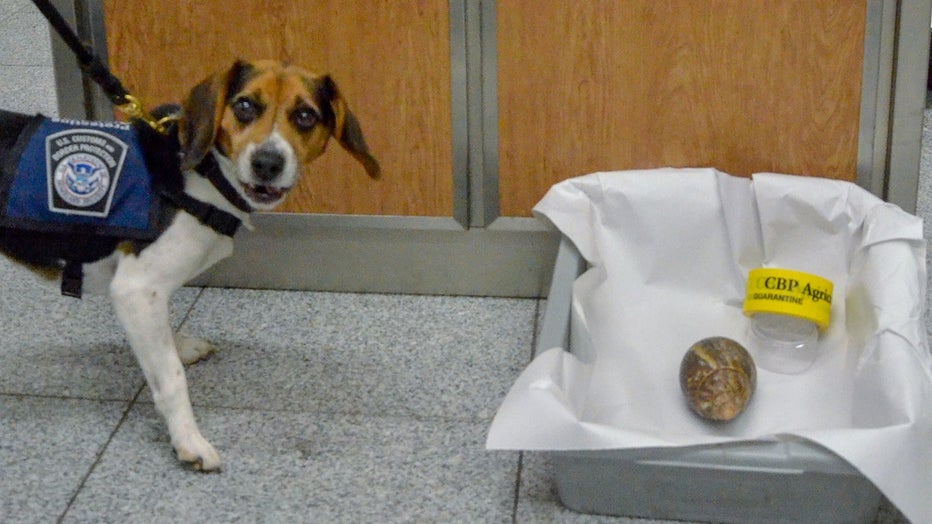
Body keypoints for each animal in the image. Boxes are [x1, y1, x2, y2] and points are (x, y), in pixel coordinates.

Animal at [0, 58, 378, 470]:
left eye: (306, 115)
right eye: (245, 106)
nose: (267, 163)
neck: (205, 176)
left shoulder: (147, 296)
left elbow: (165, 337)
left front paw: (178, 345)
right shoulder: (135, 289)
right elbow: (171, 378)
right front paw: (187, 439)